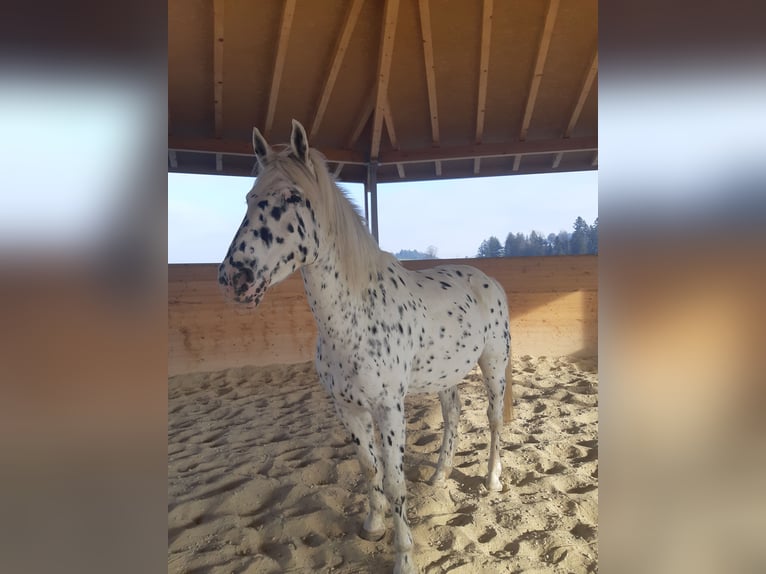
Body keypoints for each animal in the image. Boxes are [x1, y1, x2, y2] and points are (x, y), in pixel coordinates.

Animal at [218, 120, 512, 574]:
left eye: (293, 197)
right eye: (250, 198)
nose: (235, 277)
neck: (353, 320)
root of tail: (487, 280)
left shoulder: (388, 408)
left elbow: (394, 480)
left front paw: (404, 556)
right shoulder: (348, 407)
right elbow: (368, 469)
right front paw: (373, 527)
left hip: (494, 365)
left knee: (494, 420)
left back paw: (492, 479)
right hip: (445, 376)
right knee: (453, 414)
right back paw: (440, 474)